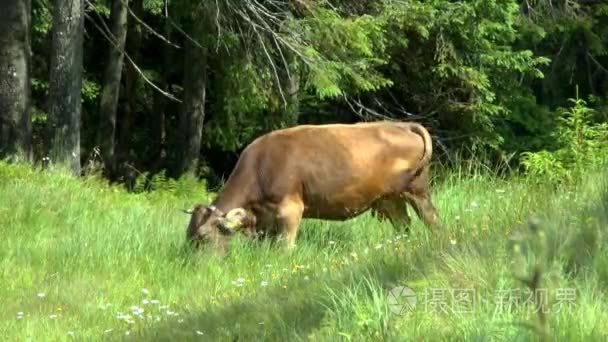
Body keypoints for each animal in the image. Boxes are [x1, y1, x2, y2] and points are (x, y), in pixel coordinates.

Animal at [183, 120, 440, 251]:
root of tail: (401, 124)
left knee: (432, 218)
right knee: (403, 224)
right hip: (389, 199)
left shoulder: (290, 209)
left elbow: (285, 246)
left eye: (203, 237)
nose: (191, 262)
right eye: (188, 234)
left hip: (417, 191)